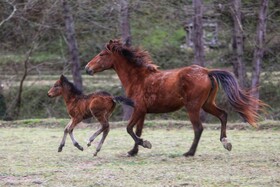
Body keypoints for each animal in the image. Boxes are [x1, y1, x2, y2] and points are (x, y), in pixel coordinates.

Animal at [85, 39, 266, 156]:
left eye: (101, 54)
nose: (87, 68)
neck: (139, 78)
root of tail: (206, 72)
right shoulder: (142, 111)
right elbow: (137, 130)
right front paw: (133, 151)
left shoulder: (139, 109)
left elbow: (129, 129)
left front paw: (145, 144)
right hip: (207, 104)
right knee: (223, 115)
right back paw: (225, 142)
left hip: (193, 107)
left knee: (198, 128)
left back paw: (189, 152)